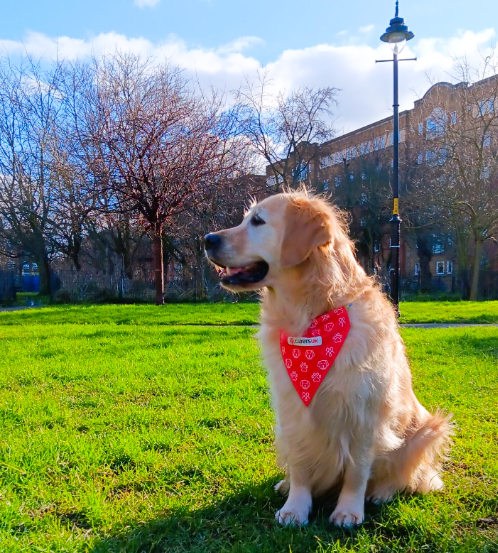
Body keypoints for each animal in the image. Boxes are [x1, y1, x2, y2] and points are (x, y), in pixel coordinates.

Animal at [204, 190, 454, 528]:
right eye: (246, 219)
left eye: (257, 221)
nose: (207, 239)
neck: (311, 318)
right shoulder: (292, 409)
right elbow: (300, 464)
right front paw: (295, 506)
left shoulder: (364, 413)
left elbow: (357, 471)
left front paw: (348, 510)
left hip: (427, 430)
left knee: (406, 474)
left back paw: (382, 492)